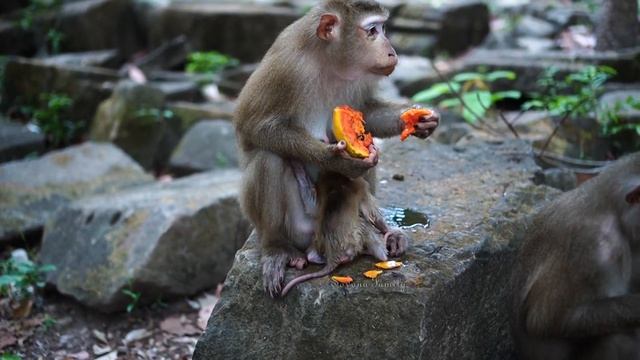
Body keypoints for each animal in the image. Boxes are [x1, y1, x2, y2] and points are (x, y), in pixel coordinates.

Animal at [234, 0, 440, 296]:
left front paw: (417, 119)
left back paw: (387, 233)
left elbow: (366, 114)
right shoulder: (286, 66)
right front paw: (334, 160)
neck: (328, 61)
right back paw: (277, 248)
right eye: (372, 30)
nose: (392, 51)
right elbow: (252, 125)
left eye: (383, 28)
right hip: (297, 227)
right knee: (269, 156)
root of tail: (317, 242)